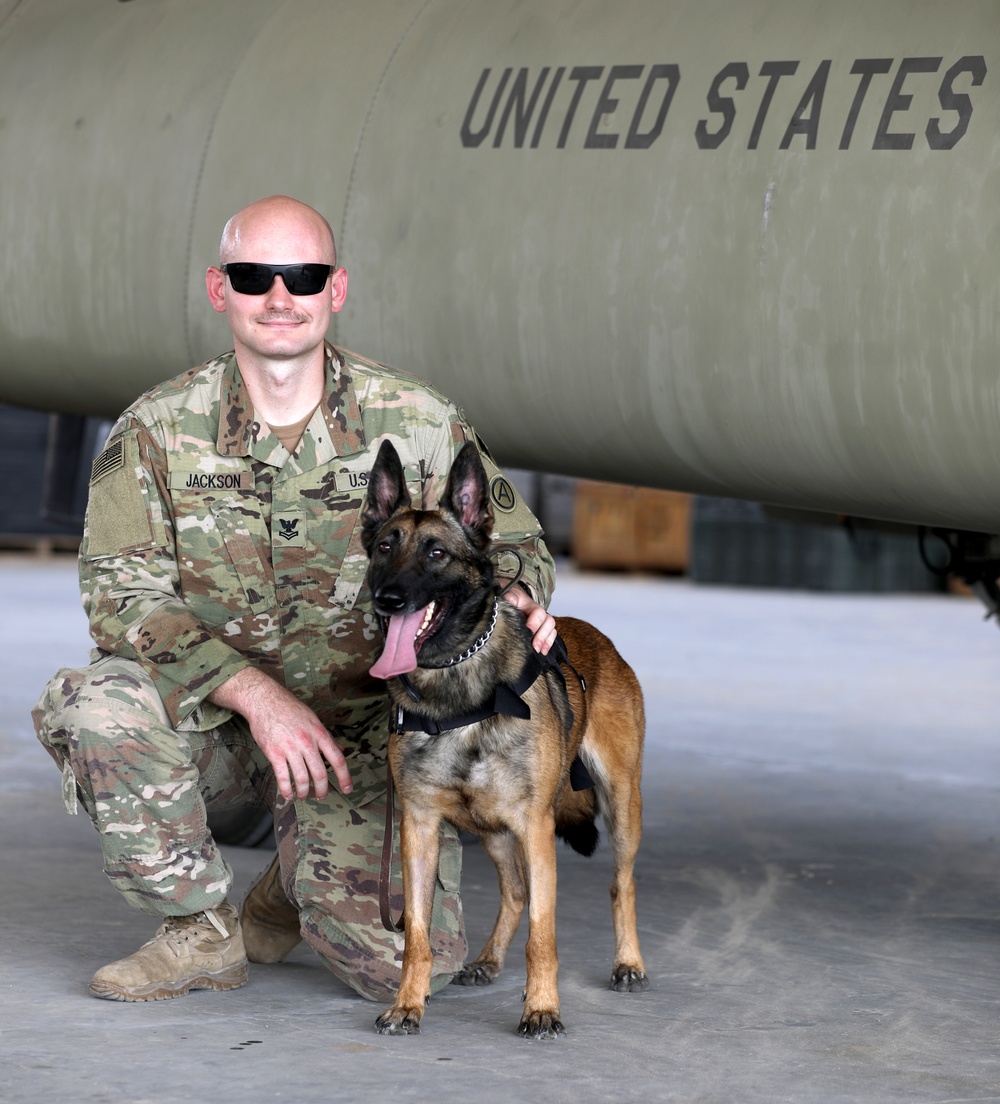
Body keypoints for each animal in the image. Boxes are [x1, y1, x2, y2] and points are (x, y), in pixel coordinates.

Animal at [359, 437, 649, 1033]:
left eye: (436, 554)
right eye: (384, 547)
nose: (388, 599)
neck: (456, 690)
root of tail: (599, 637)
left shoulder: (535, 828)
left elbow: (544, 936)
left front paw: (541, 1008)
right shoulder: (419, 826)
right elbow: (417, 933)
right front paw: (407, 1004)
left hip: (620, 803)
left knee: (621, 882)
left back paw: (628, 962)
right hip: (489, 827)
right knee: (514, 890)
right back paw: (488, 960)